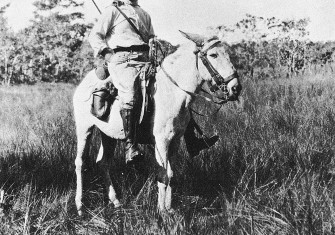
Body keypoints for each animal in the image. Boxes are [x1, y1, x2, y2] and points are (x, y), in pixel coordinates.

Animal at [73, 32, 242, 216]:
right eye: (213, 55)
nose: (236, 88)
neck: (173, 91)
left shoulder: (175, 141)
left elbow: (171, 174)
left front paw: (169, 208)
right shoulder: (161, 142)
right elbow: (163, 174)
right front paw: (161, 212)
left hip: (108, 135)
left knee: (102, 163)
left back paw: (116, 201)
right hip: (84, 129)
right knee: (80, 163)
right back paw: (80, 206)